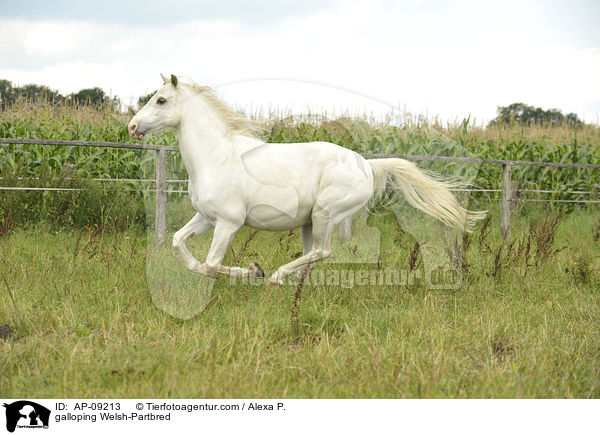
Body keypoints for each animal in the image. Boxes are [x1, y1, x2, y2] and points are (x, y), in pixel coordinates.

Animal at [129, 74, 486, 286]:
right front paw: (252, 271)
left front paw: (253, 271)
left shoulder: (229, 223)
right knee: (311, 255)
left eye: (161, 100)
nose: (132, 127)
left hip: (325, 213)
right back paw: (291, 285)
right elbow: (179, 242)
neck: (217, 156)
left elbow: (210, 264)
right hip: (309, 222)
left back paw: (276, 277)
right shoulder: (206, 217)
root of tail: (367, 165)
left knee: (322, 252)